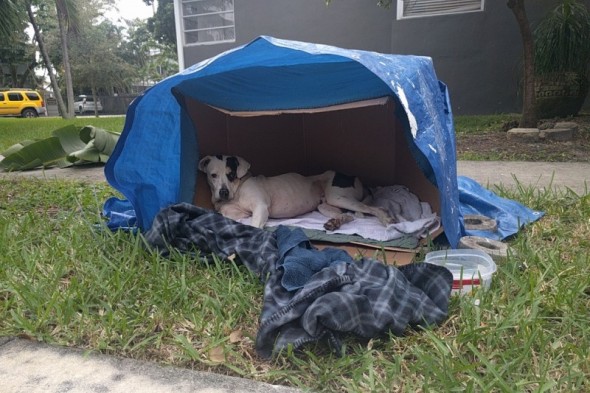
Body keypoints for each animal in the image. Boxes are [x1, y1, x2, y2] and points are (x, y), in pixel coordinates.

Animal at [197, 154, 396, 230]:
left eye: (230, 174)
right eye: (213, 175)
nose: (223, 192)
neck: (237, 190)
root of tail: (354, 176)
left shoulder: (260, 207)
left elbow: (254, 225)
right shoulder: (233, 213)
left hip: (338, 196)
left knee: (374, 209)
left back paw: (387, 219)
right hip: (325, 205)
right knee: (349, 216)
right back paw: (335, 223)